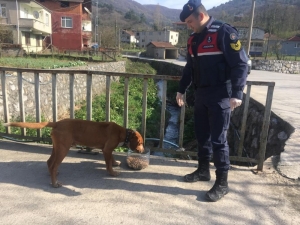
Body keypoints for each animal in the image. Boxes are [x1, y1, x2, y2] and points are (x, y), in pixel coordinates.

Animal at [3, 118, 144, 187]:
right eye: (140, 142)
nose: (143, 151)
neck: (124, 134)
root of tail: (57, 123)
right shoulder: (107, 149)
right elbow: (108, 163)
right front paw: (112, 173)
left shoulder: (107, 149)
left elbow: (111, 158)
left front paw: (115, 163)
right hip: (63, 149)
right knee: (53, 165)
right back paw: (55, 183)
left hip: (57, 147)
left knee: (49, 162)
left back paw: (53, 175)